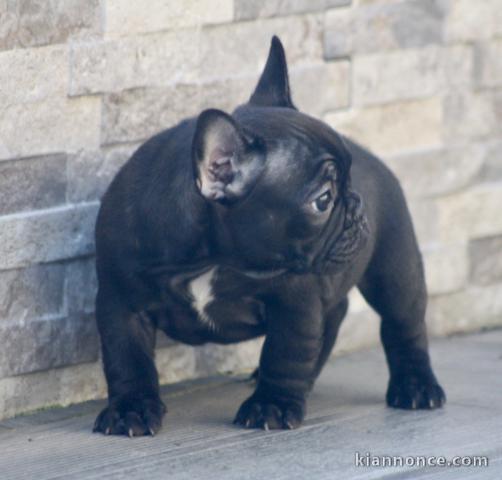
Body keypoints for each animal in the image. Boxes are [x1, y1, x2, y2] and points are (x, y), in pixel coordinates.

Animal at [92, 35, 446, 436]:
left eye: (349, 175)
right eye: (323, 200)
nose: (357, 206)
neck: (211, 257)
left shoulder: (295, 302)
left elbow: (286, 353)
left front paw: (272, 405)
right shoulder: (122, 301)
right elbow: (127, 360)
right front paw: (130, 409)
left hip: (395, 270)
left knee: (404, 324)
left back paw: (416, 387)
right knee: (335, 315)